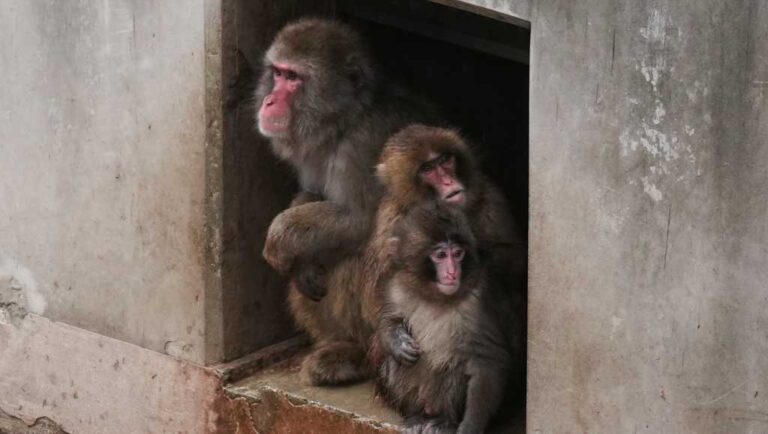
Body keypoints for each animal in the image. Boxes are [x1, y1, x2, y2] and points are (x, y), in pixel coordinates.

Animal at [255, 18, 439, 385]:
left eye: (293, 78)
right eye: (278, 73)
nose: (269, 100)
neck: (344, 122)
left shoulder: (364, 146)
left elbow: (361, 221)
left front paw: (279, 239)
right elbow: (312, 195)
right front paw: (302, 264)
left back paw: (358, 356)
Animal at [372, 202, 510, 434]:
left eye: (458, 253)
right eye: (441, 255)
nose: (453, 272)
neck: (435, 296)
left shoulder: (477, 302)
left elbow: (485, 361)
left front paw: (470, 426)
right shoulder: (397, 287)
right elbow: (387, 320)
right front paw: (396, 340)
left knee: (457, 365)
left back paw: (444, 420)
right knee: (396, 362)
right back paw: (415, 416)